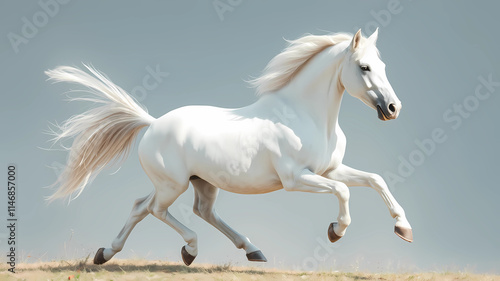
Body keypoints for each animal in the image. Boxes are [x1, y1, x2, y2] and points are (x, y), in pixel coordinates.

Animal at [47, 29, 412, 266]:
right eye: (364, 67)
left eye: (382, 66)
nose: (393, 109)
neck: (306, 115)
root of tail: (152, 123)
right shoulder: (297, 178)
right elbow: (344, 192)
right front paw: (336, 231)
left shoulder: (330, 169)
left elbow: (376, 180)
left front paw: (403, 229)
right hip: (173, 185)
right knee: (155, 209)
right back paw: (189, 251)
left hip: (200, 183)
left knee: (176, 209)